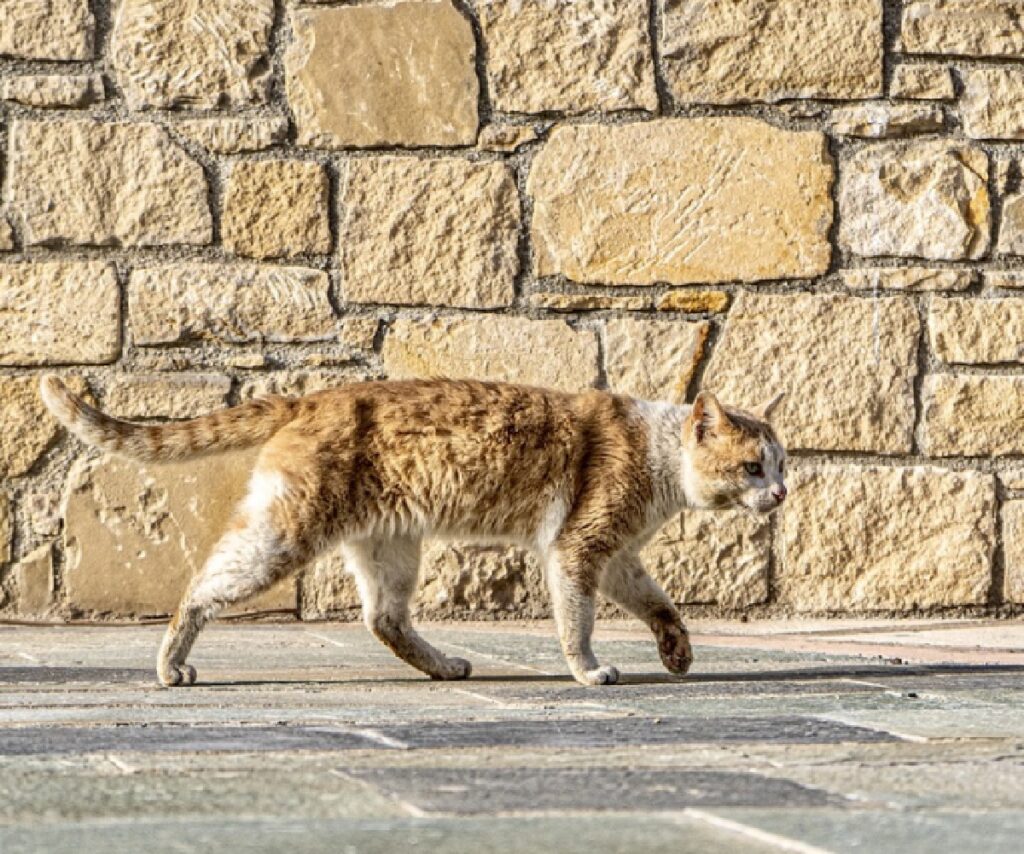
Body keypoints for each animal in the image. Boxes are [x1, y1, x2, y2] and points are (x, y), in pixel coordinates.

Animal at [36, 372, 778, 684]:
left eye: (782, 464)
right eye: (753, 466)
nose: (782, 492)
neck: (657, 454)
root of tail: (310, 398)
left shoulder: (618, 557)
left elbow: (661, 605)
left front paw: (677, 653)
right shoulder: (579, 548)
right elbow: (578, 623)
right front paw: (588, 672)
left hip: (389, 546)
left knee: (384, 620)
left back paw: (444, 666)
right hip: (281, 536)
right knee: (198, 587)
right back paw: (171, 664)